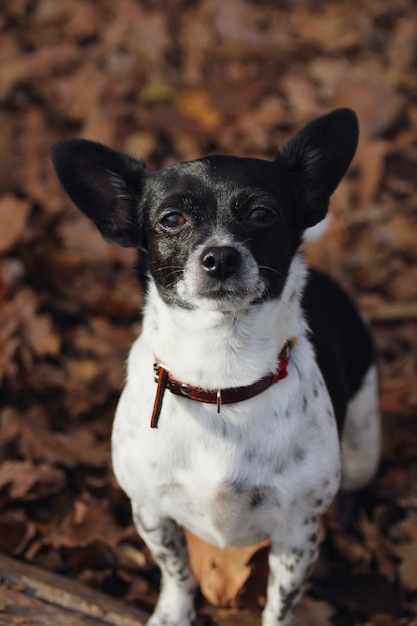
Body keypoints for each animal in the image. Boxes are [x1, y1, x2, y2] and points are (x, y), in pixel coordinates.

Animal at [52, 109, 380, 620]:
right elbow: (177, 572)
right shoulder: (151, 513)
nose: (221, 255)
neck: (222, 377)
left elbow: (280, 603)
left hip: (364, 447)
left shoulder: (297, 534)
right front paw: (173, 615)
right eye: (172, 219)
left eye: (263, 214)